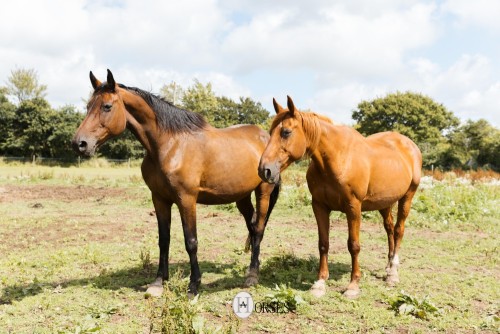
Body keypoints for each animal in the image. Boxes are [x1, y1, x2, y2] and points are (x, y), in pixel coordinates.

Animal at [73, 69, 282, 296]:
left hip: (263, 191)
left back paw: (252, 275)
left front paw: (194, 285)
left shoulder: (186, 199)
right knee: (252, 227)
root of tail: (265, 137)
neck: (170, 145)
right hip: (241, 196)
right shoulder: (159, 199)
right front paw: (158, 282)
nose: (79, 144)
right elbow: (164, 239)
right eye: (88, 106)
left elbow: (191, 241)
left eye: (107, 106)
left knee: (258, 229)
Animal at [258, 96, 422, 298]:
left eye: (286, 132)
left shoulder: (353, 207)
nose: (264, 170)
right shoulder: (319, 206)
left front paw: (353, 285)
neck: (337, 158)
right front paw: (320, 283)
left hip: (407, 196)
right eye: (271, 132)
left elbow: (354, 245)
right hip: (385, 202)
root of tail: (410, 145)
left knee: (399, 230)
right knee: (390, 229)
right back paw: (388, 266)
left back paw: (393, 273)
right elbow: (323, 243)